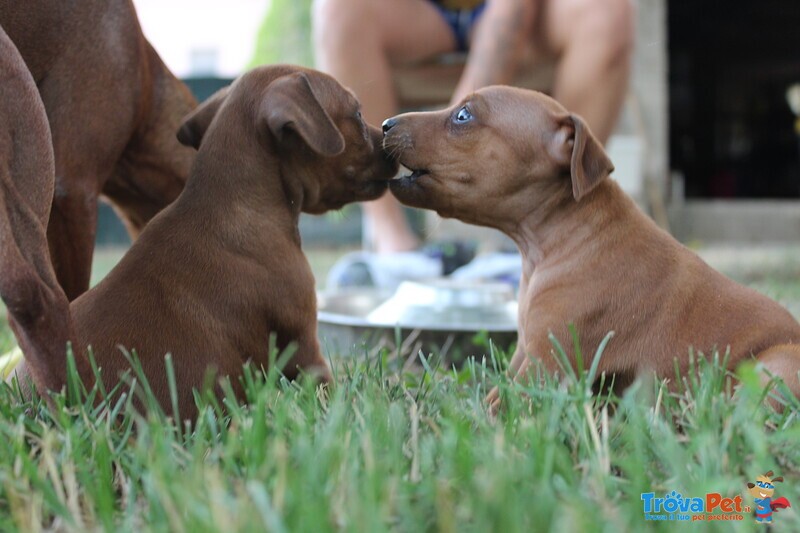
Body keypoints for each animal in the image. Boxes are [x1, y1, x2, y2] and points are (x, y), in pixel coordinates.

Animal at [382, 85, 800, 406]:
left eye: (464, 115)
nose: (386, 124)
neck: (553, 242)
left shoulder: (545, 364)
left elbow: (493, 405)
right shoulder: (524, 352)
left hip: (776, 364)